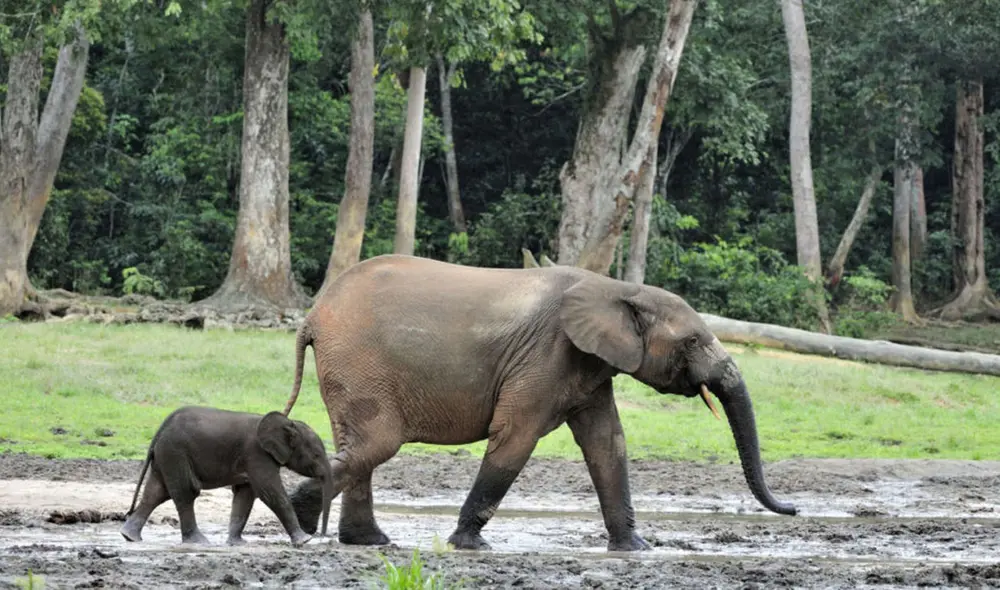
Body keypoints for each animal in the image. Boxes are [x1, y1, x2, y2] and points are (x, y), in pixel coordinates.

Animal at [120, 406, 334, 546]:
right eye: (316, 455)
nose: (322, 536)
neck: (288, 423)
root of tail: (160, 429)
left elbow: (245, 496)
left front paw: (237, 543)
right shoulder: (257, 454)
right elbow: (271, 492)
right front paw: (304, 540)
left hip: (166, 455)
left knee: (156, 493)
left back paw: (129, 537)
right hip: (175, 453)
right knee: (186, 492)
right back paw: (198, 542)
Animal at [281, 254, 796, 552]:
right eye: (692, 342)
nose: (792, 509)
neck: (615, 288)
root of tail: (312, 317)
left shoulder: (588, 365)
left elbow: (608, 444)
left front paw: (637, 549)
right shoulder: (546, 355)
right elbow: (515, 438)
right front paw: (469, 546)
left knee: (362, 447)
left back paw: (367, 542)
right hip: (359, 361)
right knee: (378, 443)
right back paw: (307, 518)